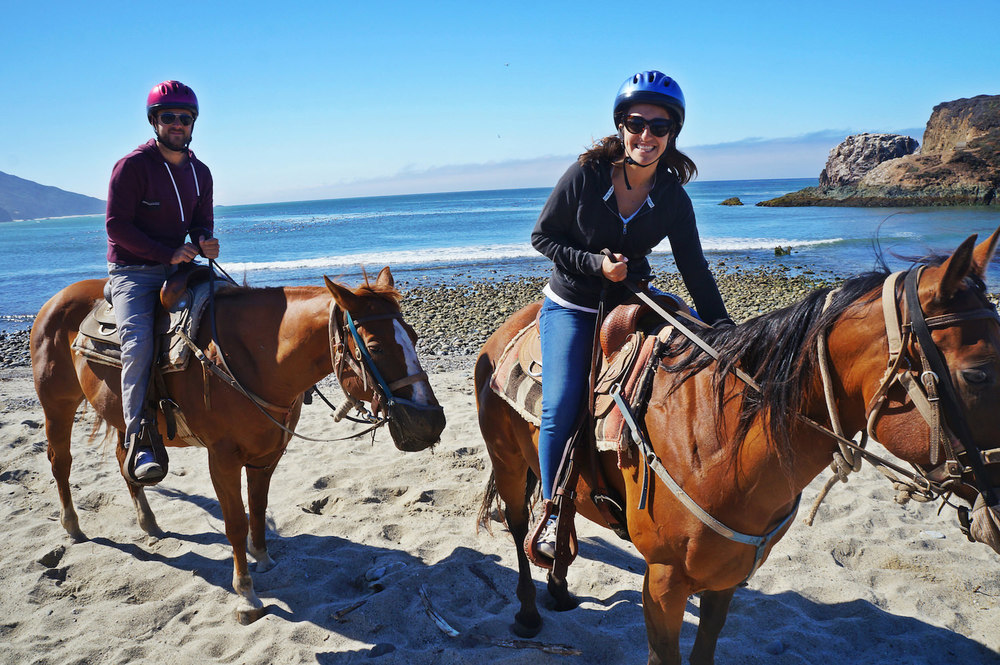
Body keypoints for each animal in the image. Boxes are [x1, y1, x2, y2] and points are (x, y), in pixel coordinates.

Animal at [31, 264, 446, 624]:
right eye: (374, 348)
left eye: (414, 337)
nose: (431, 422)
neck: (254, 360)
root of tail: (56, 300)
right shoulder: (222, 459)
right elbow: (234, 521)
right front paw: (246, 595)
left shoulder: (268, 454)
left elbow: (258, 509)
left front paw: (263, 558)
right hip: (57, 405)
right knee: (60, 461)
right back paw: (73, 525)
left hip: (124, 418)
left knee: (125, 461)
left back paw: (149, 523)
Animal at [474, 230, 1000, 664]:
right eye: (978, 374)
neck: (717, 440)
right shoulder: (662, 582)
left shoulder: (727, 576)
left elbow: (705, 651)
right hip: (508, 462)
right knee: (519, 528)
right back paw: (528, 611)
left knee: (561, 511)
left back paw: (560, 586)